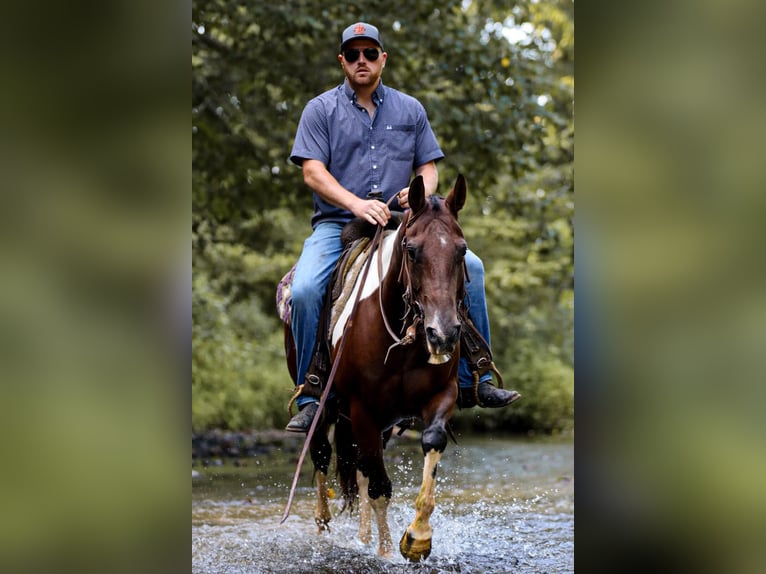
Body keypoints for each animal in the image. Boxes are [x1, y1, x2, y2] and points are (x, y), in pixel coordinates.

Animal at [284, 174, 472, 564]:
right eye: (412, 250)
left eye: (461, 250)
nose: (443, 333)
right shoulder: (363, 408)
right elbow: (380, 486)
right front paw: (386, 552)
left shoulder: (440, 396)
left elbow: (431, 441)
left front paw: (417, 537)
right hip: (328, 410)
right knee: (323, 454)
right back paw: (323, 522)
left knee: (359, 472)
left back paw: (363, 535)